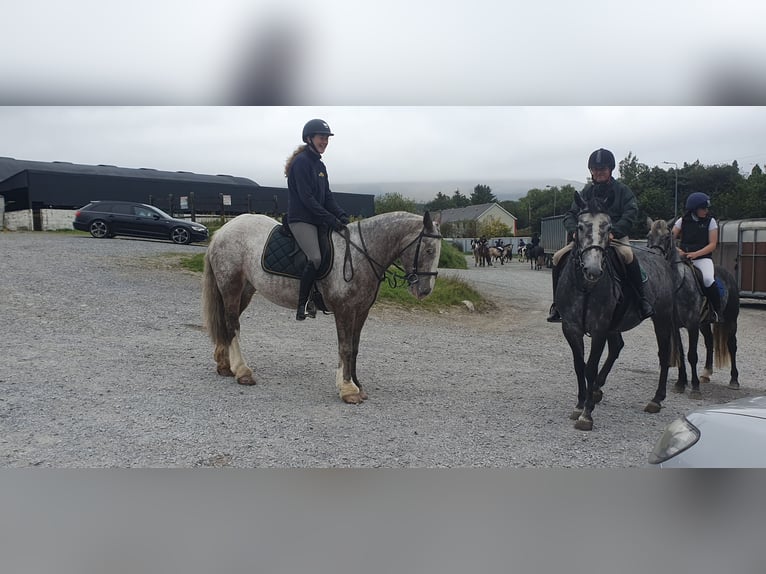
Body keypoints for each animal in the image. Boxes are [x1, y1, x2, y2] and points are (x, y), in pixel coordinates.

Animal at [204, 212, 444, 404]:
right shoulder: (344, 309)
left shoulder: (361, 311)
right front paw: (348, 389)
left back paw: (225, 365)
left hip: (246, 290)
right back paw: (242, 371)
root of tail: (223, 230)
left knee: (226, 323)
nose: (425, 291)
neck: (360, 254)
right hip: (231, 287)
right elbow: (345, 347)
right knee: (232, 324)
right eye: (429, 250)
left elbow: (354, 348)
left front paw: (357, 385)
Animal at [560, 195, 680, 432]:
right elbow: (579, 366)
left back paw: (656, 399)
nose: (593, 270)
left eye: (608, 228)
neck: (586, 287)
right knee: (616, 347)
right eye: (580, 226)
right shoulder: (571, 328)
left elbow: (589, 368)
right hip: (615, 326)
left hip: (661, 319)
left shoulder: (599, 329)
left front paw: (586, 414)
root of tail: (660, 258)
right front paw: (580, 403)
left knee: (663, 354)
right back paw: (597, 390)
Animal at [644, 218, 740, 398]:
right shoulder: (675, 325)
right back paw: (706, 373)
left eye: (667, 237)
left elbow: (692, 355)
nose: (654, 257)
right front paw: (680, 383)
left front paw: (694, 387)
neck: (677, 284)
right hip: (705, 323)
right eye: (648, 236)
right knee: (710, 342)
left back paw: (734, 380)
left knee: (732, 345)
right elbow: (681, 354)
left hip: (731, 320)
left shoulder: (692, 324)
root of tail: (728, 274)